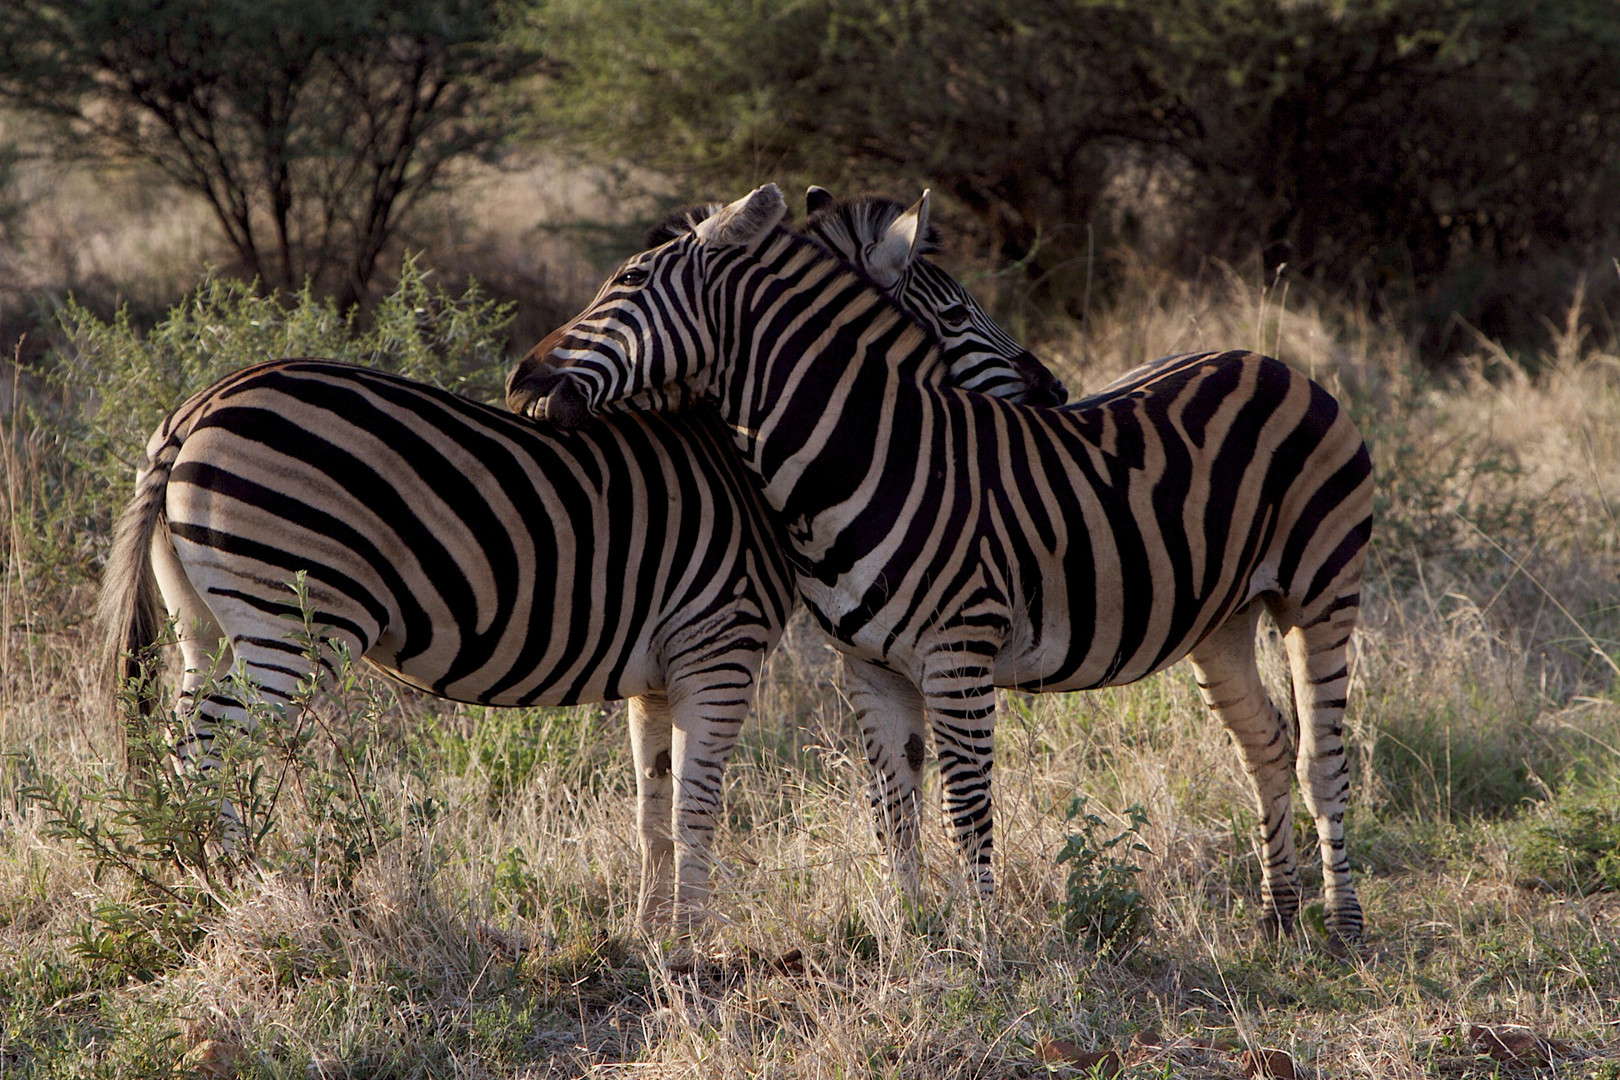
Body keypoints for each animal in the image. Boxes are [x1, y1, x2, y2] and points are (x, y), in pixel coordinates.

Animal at [98, 187, 1062, 932]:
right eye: (956, 311)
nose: (1053, 389)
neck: (742, 454)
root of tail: (194, 408)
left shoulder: (658, 672)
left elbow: (653, 810)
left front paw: (649, 931)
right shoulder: (721, 647)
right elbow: (699, 804)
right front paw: (697, 939)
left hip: (205, 621)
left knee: (186, 730)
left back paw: (200, 881)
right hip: (293, 628)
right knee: (217, 746)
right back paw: (240, 890)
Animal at [502, 186, 1367, 945]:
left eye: (629, 281)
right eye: (954, 311)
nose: (519, 378)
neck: (866, 459)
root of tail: (1271, 361)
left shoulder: (959, 659)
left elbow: (966, 808)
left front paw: (987, 947)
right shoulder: (868, 668)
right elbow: (894, 809)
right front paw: (913, 932)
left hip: (1322, 595)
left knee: (1322, 758)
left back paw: (1343, 930)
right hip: (1222, 619)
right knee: (1265, 744)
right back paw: (1278, 918)